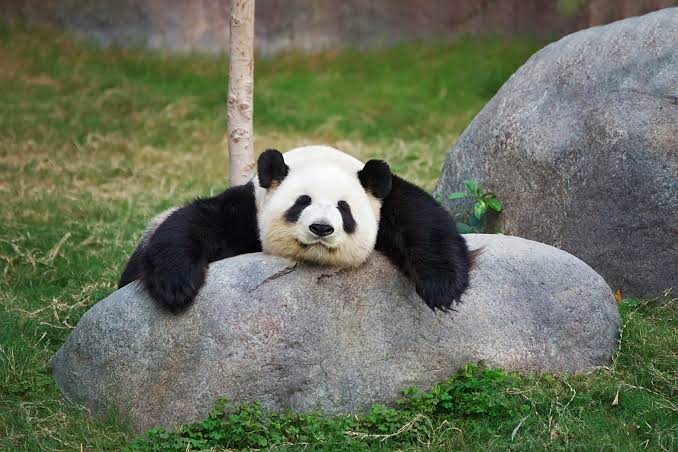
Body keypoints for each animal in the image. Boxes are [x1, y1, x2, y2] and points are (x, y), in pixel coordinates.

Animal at [119, 145, 473, 312]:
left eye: (344, 208)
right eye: (302, 202)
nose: (321, 228)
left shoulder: (386, 201)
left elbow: (424, 220)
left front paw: (441, 287)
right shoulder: (247, 209)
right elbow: (194, 222)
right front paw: (177, 285)